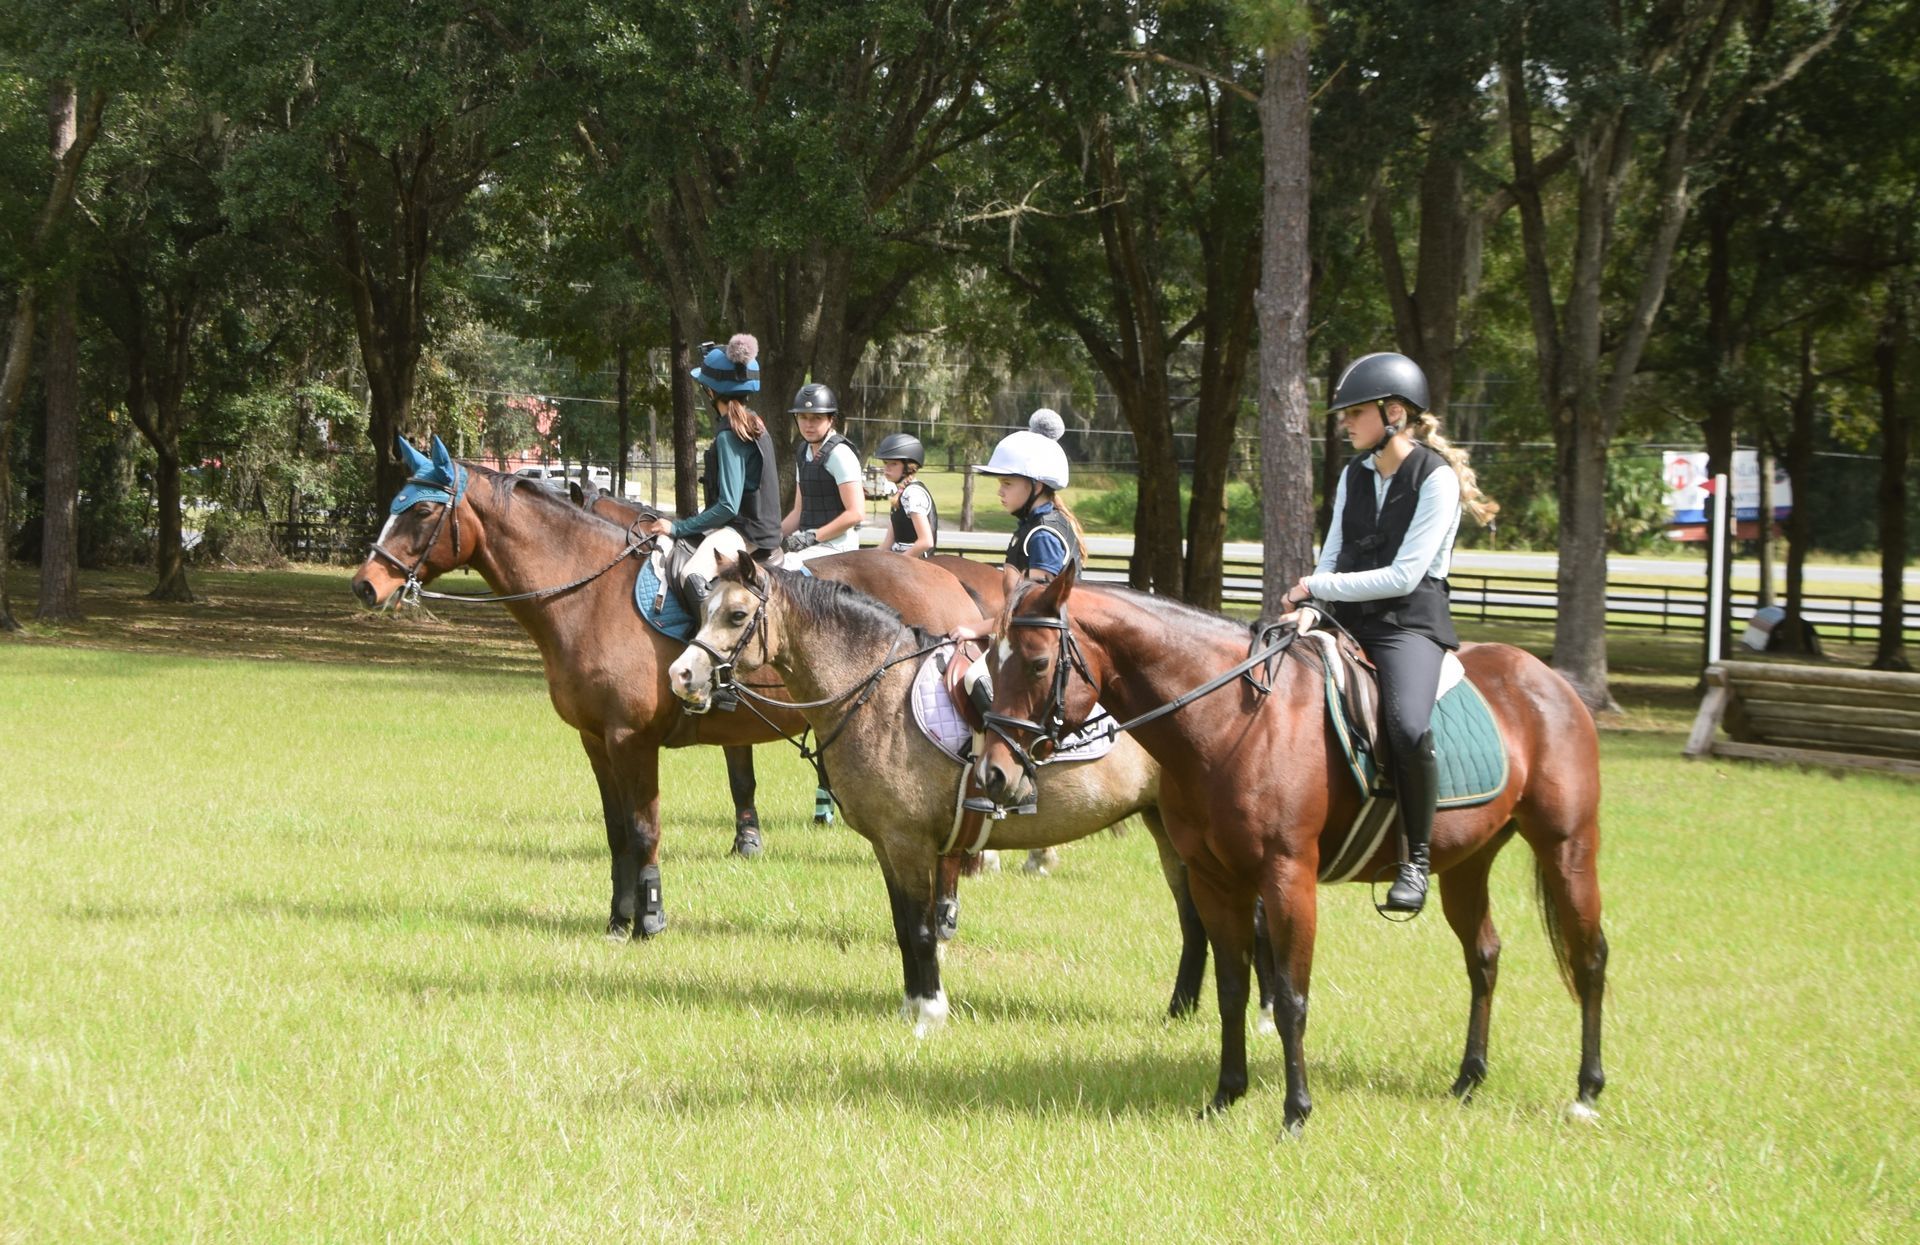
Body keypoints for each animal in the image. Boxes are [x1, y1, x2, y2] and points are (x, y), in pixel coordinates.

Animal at [349, 443, 990, 941]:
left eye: (423, 509)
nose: (365, 585)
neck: (589, 595)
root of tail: (951, 581)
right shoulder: (596, 742)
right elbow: (616, 832)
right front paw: (617, 919)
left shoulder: (633, 740)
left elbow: (644, 829)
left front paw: (650, 918)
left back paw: (943, 914)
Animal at [664, 558, 1219, 1034]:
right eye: (703, 609)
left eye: (737, 615)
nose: (681, 675)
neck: (875, 690)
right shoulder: (887, 846)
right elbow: (903, 925)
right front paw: (912, 1003)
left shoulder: (909, 844)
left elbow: (923, 927)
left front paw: (930, 1013)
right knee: (1194, 920)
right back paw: (1179, 1011)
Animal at [976, 567, 1608, 1135]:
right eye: (989, 660)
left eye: (1036, 663)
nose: (994, 775)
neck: (1233, 722)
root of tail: (1549, 681)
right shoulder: (1216, 880)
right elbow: (1232, 989)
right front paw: (1225, 1097)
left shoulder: (1287, 879)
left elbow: (1289, 996)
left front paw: (1296, 1113)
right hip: (1467, 863)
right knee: (1484, 956)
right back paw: (1469, 1079)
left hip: (1567, 848)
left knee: (1590, 957)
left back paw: (1585, 1093)